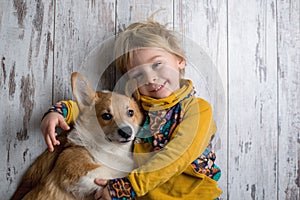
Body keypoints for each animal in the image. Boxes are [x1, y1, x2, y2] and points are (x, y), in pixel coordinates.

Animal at [10, 72, 144, 200]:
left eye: (130, 112)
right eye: (106, 116)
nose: (127, 132)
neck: (112, 150)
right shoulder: (79, 169)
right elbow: (114, 171)